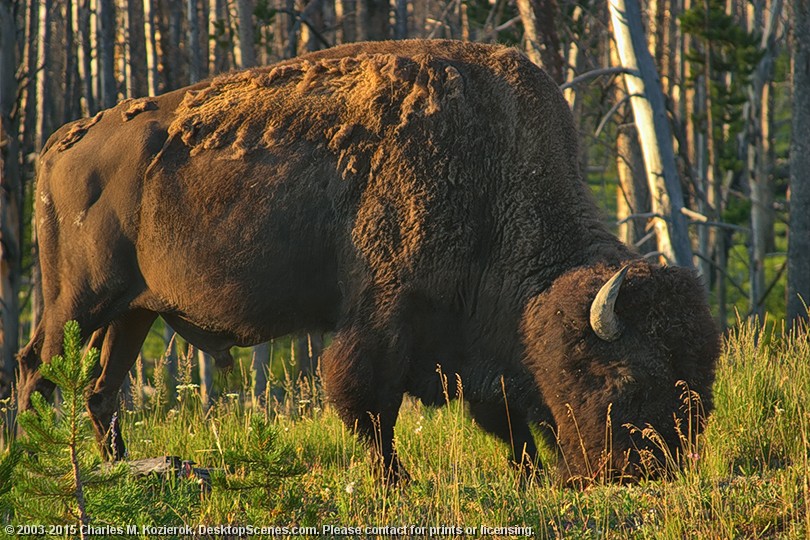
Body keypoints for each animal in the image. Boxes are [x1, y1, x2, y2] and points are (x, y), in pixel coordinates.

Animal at [15, 40, 716, 484]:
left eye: (702, 381)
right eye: (627, 381)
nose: (648, 474)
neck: (496, 178)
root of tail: (60, 143)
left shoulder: (475, 345)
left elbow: (503, 416)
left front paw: (528, 476)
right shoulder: (383, 316)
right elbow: (367, 404)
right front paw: (396, 481)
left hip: (134, 311)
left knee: (101, 388)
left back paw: (113, 466)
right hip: (78, 300)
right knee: (34, 366)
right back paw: (28, 458)